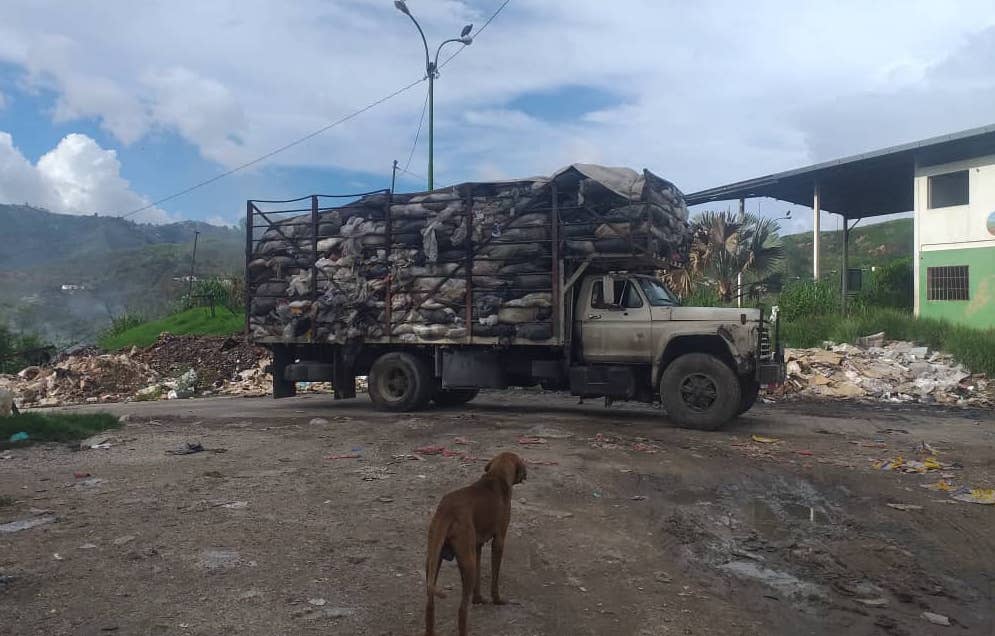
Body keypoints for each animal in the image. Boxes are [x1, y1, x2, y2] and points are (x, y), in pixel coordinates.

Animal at [422, 450, 524, 632]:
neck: (496, 476)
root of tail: (447, 510)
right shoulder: (499, 540)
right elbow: (495, 576)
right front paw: (497, 600)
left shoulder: (476, 546)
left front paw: (478, 598)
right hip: (465, 564)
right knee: (462, 610)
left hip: (433, 560)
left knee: (430, 604)